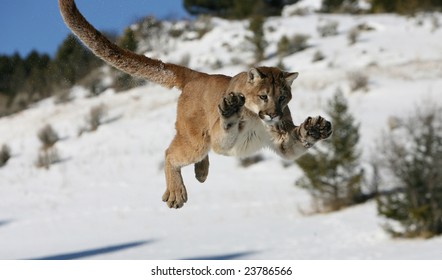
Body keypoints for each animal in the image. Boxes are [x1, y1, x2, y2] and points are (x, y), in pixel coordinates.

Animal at [58, 0, 332, 209]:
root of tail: (198, 75)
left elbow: (294, 143)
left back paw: (201, 171)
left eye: (283, 98)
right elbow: (225, 129)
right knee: (171, 153)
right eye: (264, 96)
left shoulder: (282, 140)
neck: (257, 117)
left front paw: (314, 129)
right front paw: (231, 109)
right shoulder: (223, 139)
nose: (273, 114)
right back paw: (177, 192)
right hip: (194, 139)